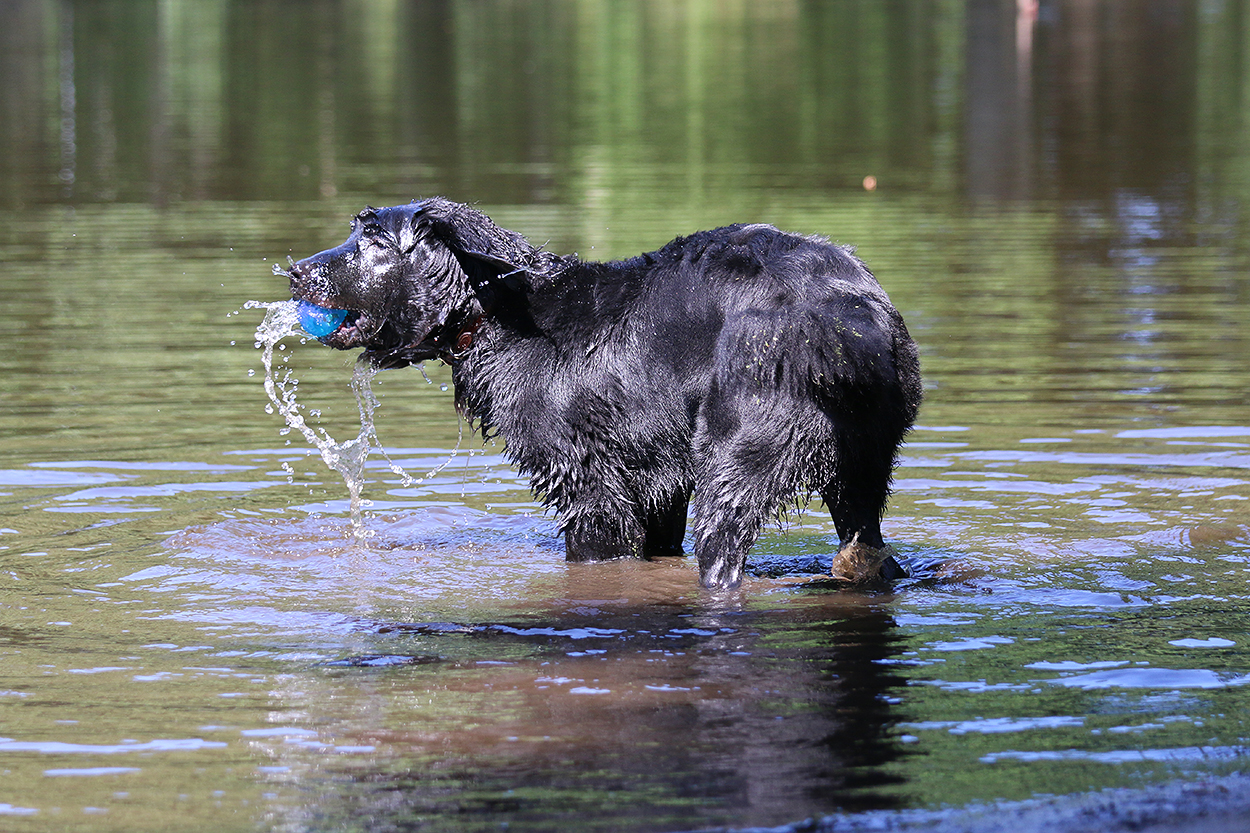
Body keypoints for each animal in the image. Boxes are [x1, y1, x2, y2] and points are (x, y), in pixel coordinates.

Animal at [285, 198, 922, 589]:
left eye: (373, 239)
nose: (293, 270)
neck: (497, 313)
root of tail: (845, 317)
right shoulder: (658, 480)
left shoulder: (588, 481)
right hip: (865, 462)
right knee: (865, 550)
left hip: (741, 451)